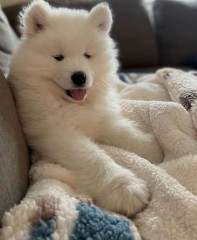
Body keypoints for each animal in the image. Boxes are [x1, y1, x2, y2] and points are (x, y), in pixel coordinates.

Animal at [7, 0, 162, 217]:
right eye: (58, 57)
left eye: (87, 55)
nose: (79, 77)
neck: (73, 105)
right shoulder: (57, 132)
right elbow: (93, 157)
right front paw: (125, 189)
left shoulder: (98, 117)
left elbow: (122, 130)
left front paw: (150, 149)